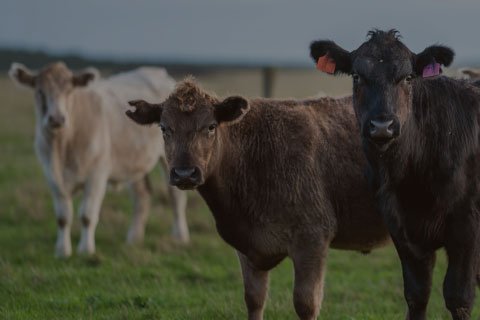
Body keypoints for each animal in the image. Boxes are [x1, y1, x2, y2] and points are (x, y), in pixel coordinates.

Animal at [8, 62, 189, 258]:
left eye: (69, 90)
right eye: (40, 91)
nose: (56, 118)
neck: (62, 148)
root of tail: (155, 71)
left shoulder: (97, 175)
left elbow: (87, 215)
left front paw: (86, 250)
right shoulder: (52, 177)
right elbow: (63, 217)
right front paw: (62, 250)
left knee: (176, 197)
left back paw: (180, 236)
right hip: (135, 160)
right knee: (141, 196)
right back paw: (134, 239)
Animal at [125, 78, 392, 320]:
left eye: (210, 126)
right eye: (164, 128)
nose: (184, 173)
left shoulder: (313, 237)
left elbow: (305, 304)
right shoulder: (247, 246)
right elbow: (254, 299)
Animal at [310, 28, 480, 318]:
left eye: (408, 76)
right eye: (357, 76)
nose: (382, 126)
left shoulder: (467, 225)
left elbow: (458, 297)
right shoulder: (400, 227)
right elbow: (417, 293)